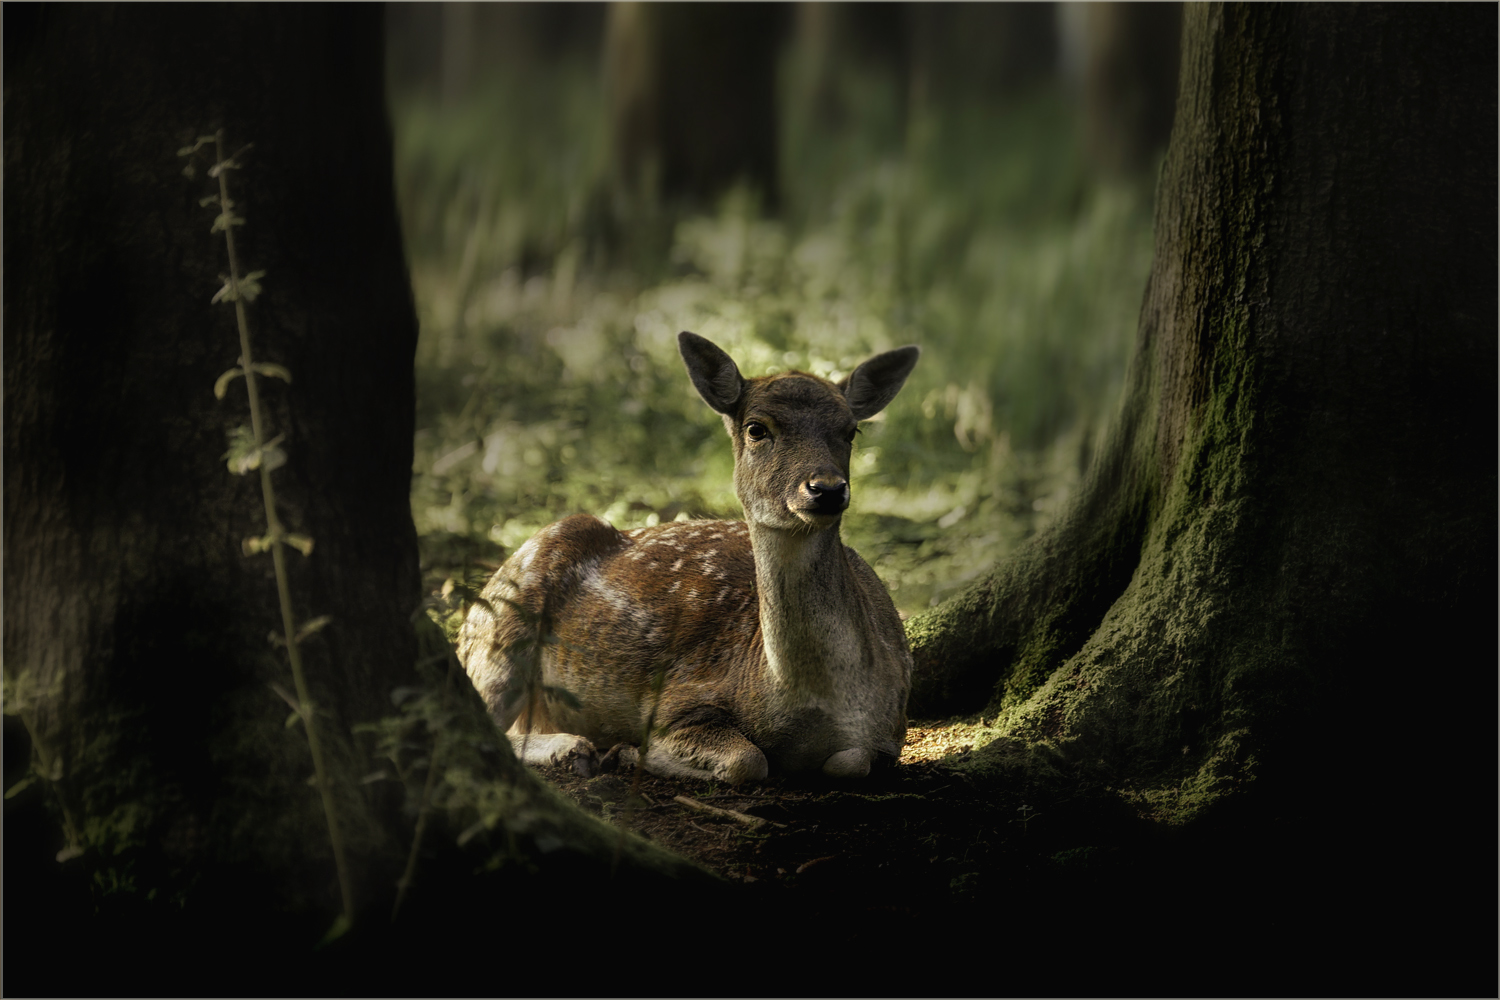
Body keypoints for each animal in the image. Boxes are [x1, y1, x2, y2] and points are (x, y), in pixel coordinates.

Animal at [456, 332, 918, 785]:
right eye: (756, 428)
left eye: (851, 431)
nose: (826, 488)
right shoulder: (680, 697)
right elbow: (748, 760)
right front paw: (626, 752)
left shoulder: (891, 731)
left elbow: (853, 761)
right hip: (498, 631)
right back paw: (575, 750)